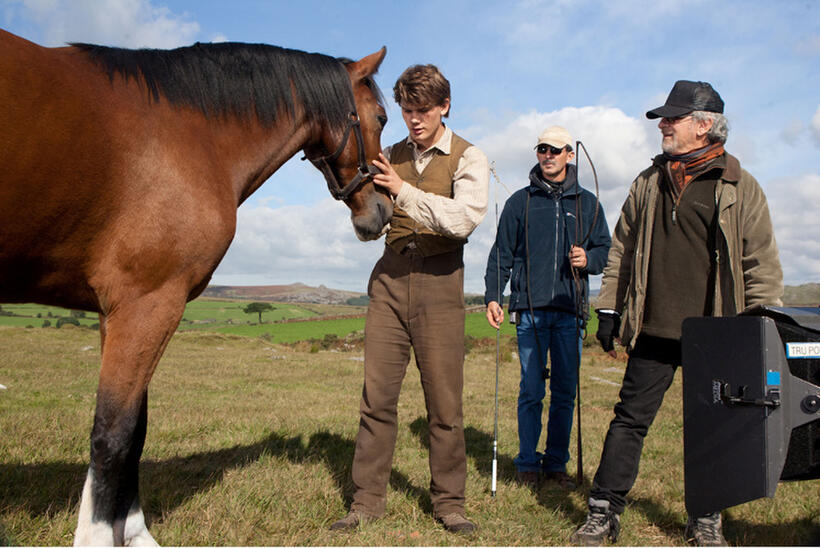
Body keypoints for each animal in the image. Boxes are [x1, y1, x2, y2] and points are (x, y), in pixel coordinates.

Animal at [0, 29, 391, 546]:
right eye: (382, 117)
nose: (383, 211)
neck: (191, 133)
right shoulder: (149, 302)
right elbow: (113, 433)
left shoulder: (119, 311)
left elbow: (136, 431)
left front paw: (135, 532)